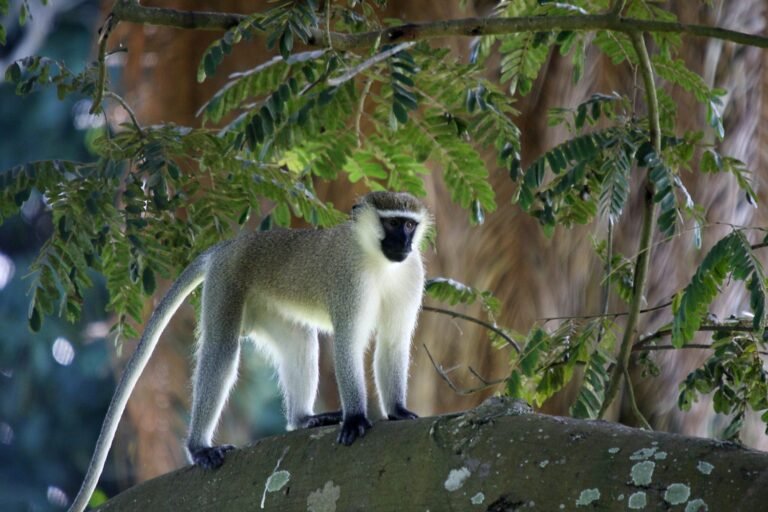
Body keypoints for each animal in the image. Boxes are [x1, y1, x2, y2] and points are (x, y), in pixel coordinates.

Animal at [68, 191, 431, 512]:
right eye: (392, 223)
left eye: (409, 225)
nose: (405, 244)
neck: (377, 260)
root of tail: (231, 244)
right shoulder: (348, 282)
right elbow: (348, 344)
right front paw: (355, 418)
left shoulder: (412, 274)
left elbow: (393, 342)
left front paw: (397, 410)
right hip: (227, 281)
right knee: (221, 352)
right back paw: (199, 447)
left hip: (266, 306)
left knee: (299, 340)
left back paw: (302, 419)